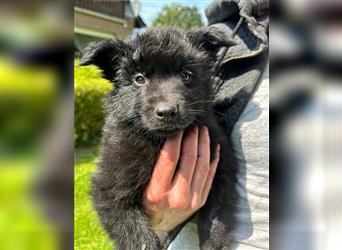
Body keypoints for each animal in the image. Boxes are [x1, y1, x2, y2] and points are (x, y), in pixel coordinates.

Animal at [81, 27, 238, 250]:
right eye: (139, 79)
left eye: (186, 75)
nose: (167, 112)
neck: (160, 140)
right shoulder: (110, 187)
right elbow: (137, 235)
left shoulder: (221, 165)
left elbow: (216, 216)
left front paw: (213, 243)